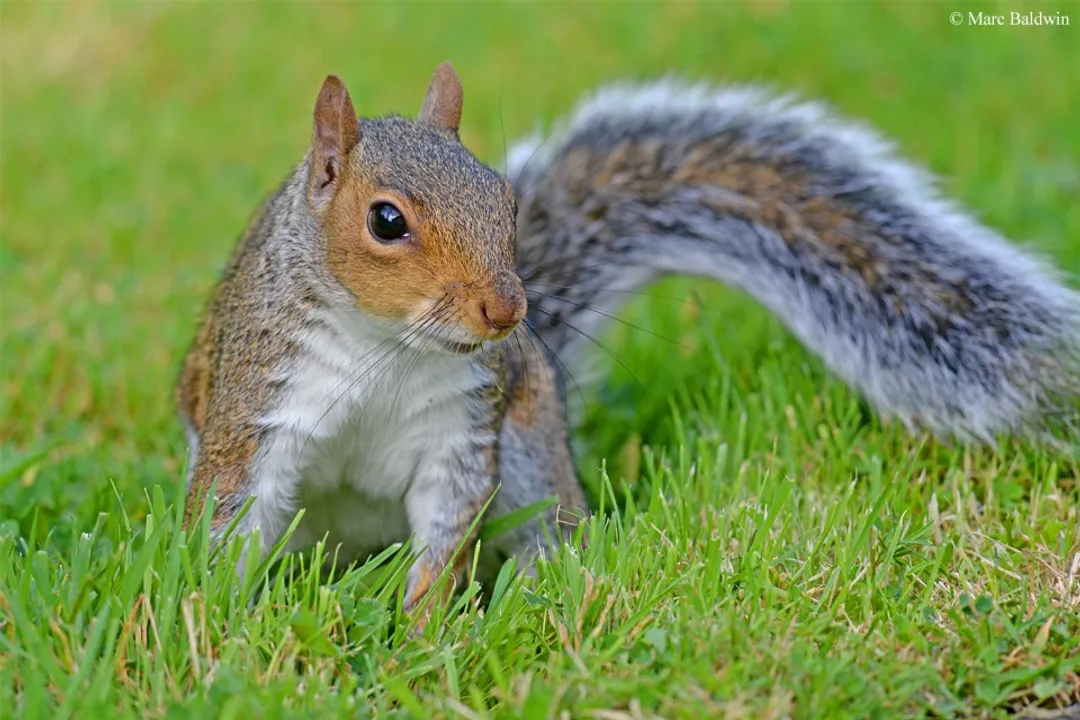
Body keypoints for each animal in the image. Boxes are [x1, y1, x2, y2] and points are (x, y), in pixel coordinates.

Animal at [178, 62, 1080, 626]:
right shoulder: (260, 406)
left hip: (528, 443)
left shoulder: (460, 435)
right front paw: (214, 625)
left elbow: (446, 534)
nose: (508, 310)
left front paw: (426, 632)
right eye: (386, 220)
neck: (389, 348)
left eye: (506, 200)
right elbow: (228, 518)